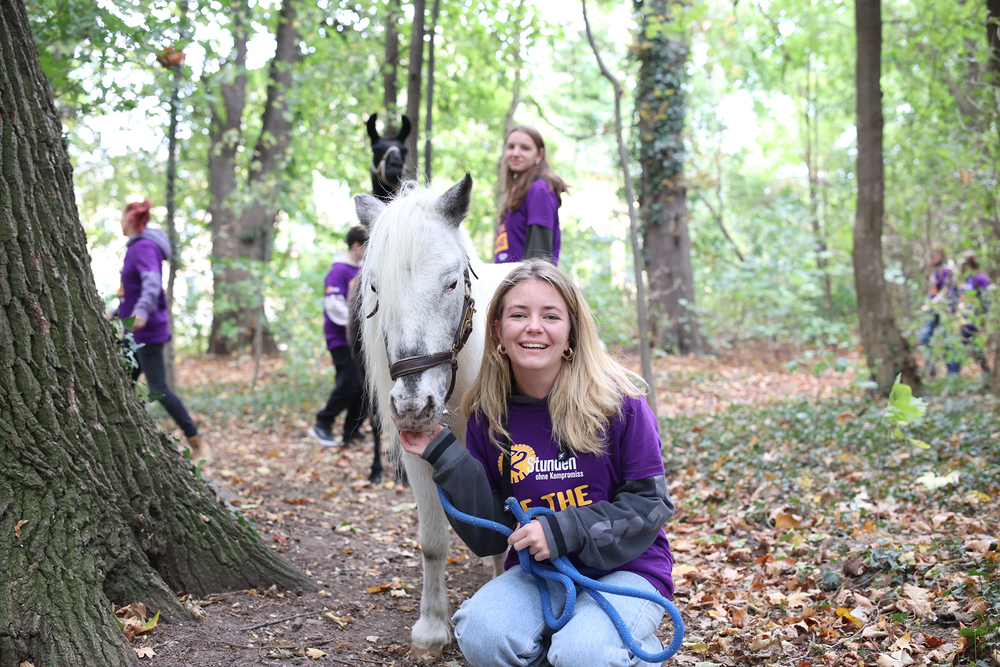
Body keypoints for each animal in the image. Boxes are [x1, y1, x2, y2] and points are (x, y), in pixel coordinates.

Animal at [354, 174, 516, 658]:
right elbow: (432, 543)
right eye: (376, 288)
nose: (412, 407)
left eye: (450, 284)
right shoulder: (420, 459)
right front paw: (430, 628)